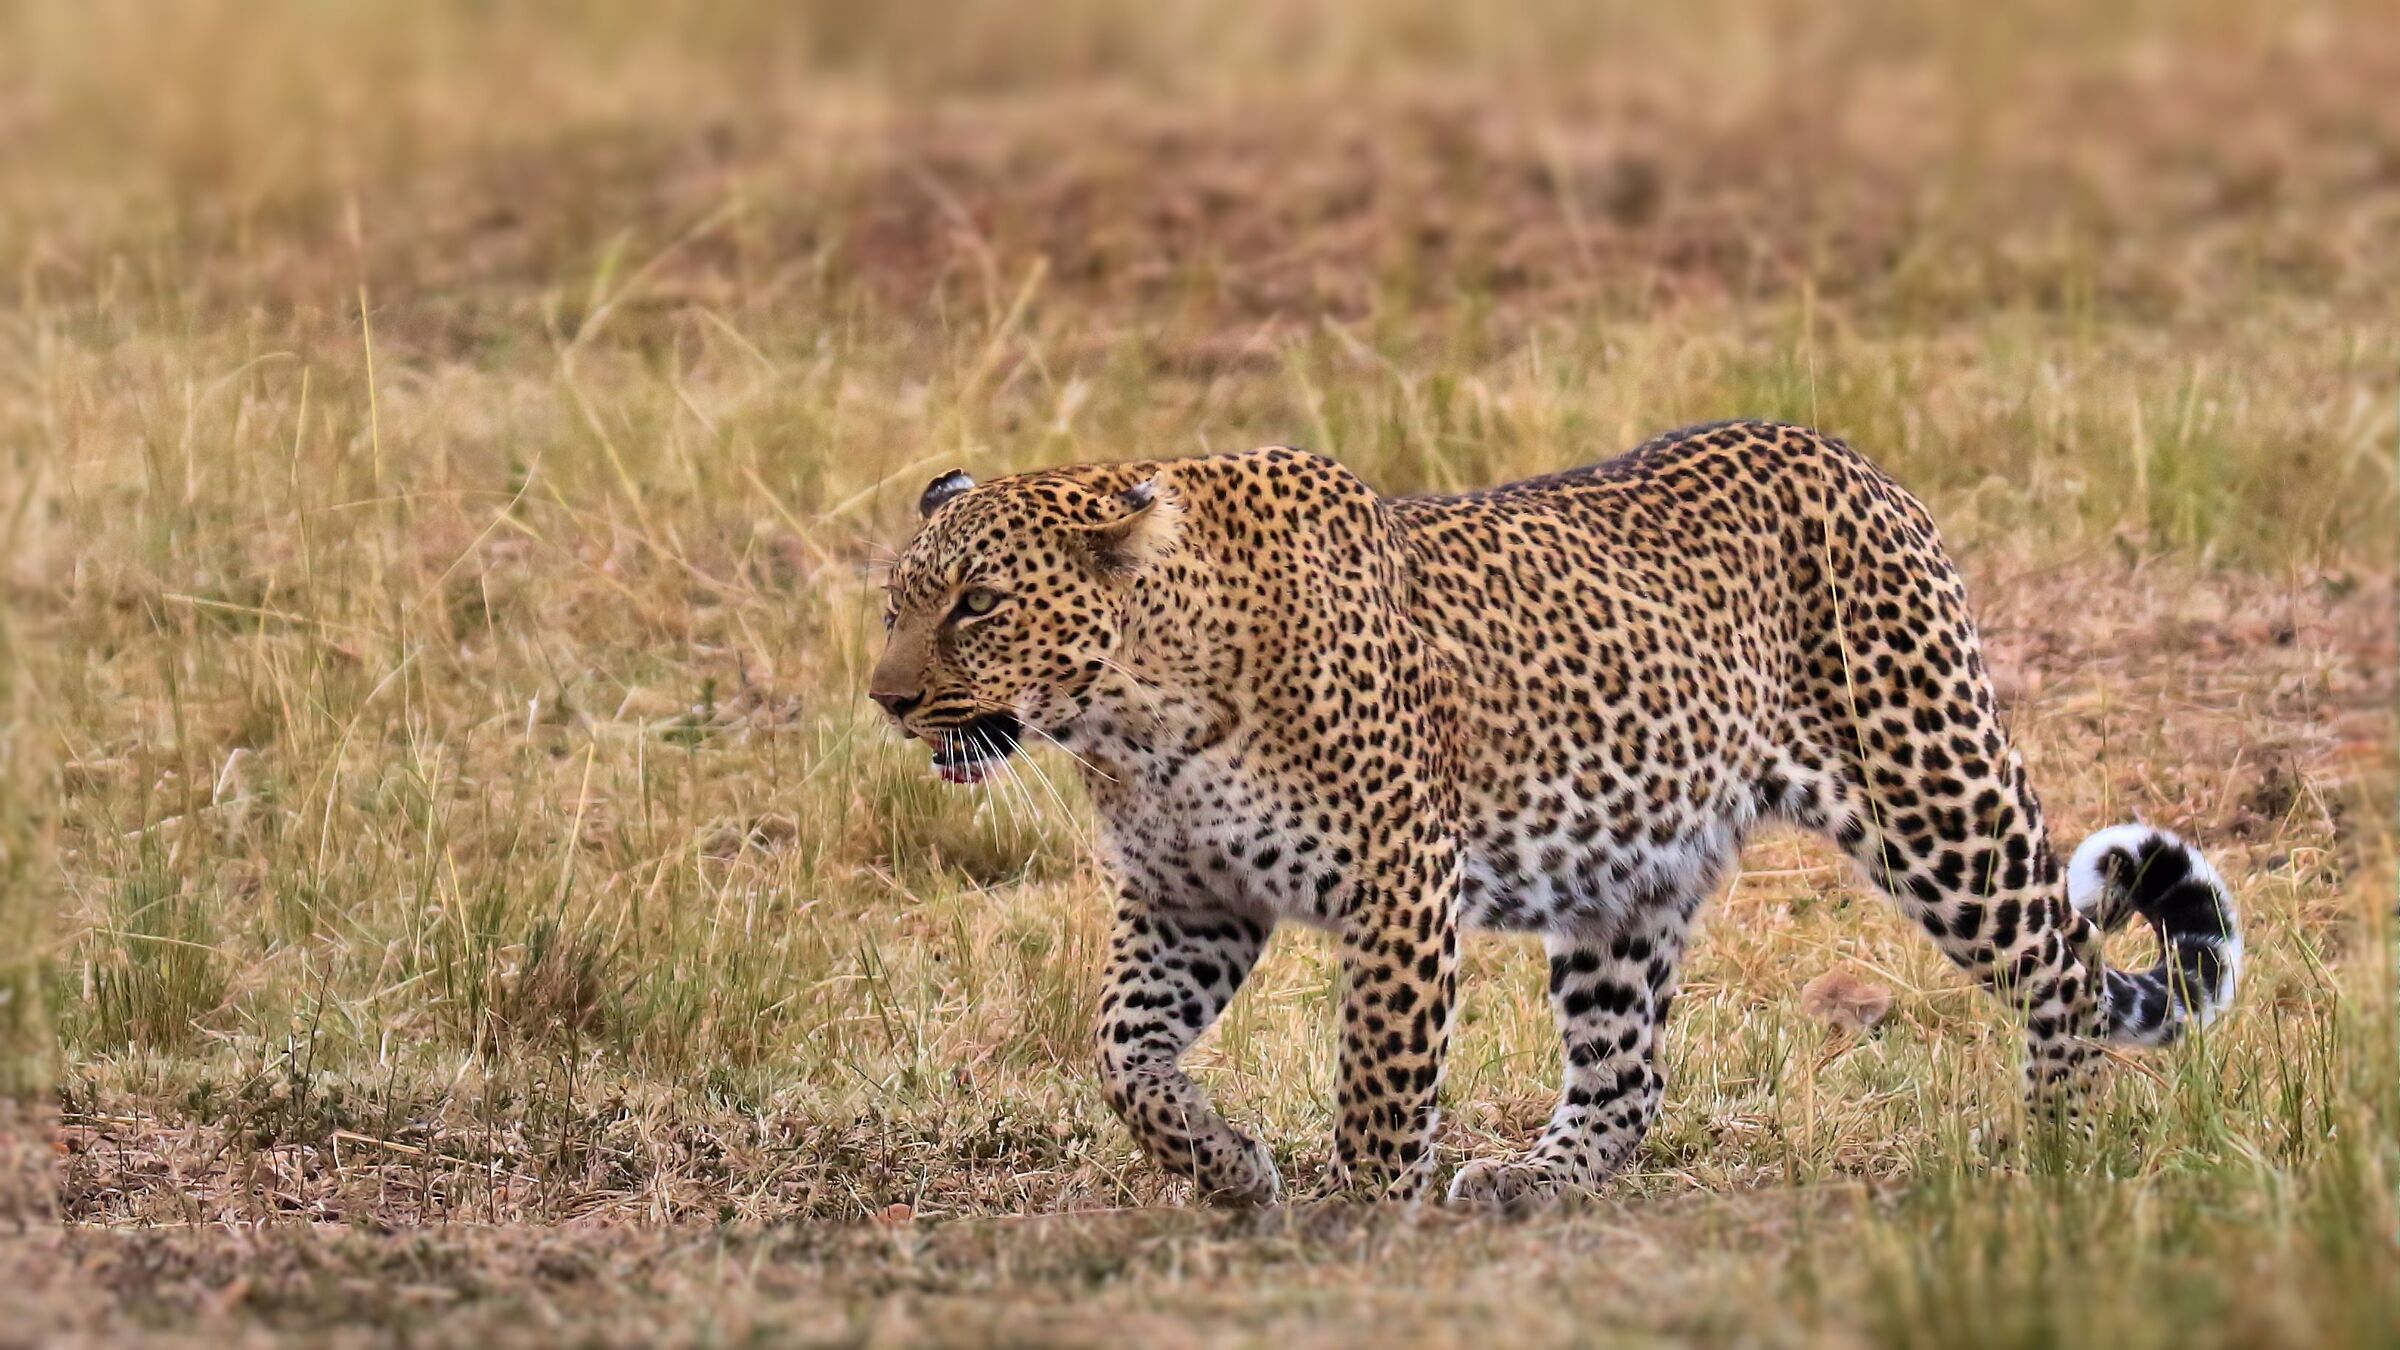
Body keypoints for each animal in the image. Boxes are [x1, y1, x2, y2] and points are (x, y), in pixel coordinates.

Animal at [867, 420, 2242, 1207]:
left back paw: (2051, 1153)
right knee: (1629, 1078)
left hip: (1933, 792)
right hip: (1627, 886)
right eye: (896, 601)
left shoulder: (1399, 882)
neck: (1134, 715)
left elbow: (1379, 1081)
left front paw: (1364, 1223)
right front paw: (1226, 1168)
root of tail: (1850, 458)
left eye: (979, 603)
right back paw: (1537, 1178)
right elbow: (1124, 1057)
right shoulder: (1187, 900)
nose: (886, 699)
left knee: (2065, 966)